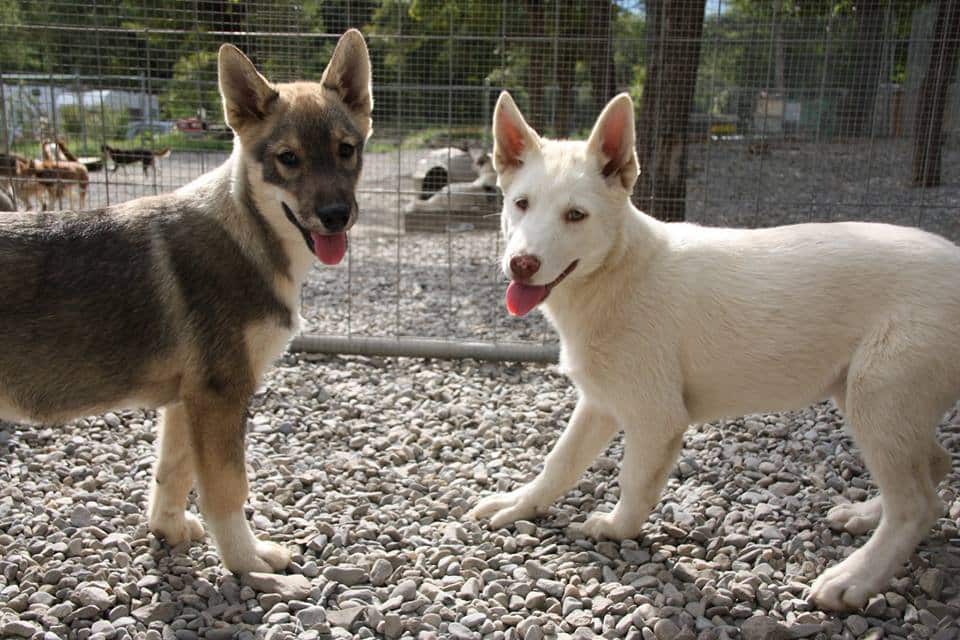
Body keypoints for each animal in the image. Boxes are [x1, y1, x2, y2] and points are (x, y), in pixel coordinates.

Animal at [0, 30, 374, 572]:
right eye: (288, 158)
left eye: (346, 150)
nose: (335, 215)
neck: (248, 234)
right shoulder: (221, 394)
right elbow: (227, 490)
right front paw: (250, 563)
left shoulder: (185, 399)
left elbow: (172, 475)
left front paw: (169, 532)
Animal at [470, 92, 960, 612]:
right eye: (521, 204)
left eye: (575, 215)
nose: (521, 265)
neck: (621, 271)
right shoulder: (600, 402)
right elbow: (559, 462)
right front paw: (520, 504)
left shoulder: (656, 417)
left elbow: (633, 482)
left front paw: (616, 529)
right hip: (872, 397)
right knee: (933, 466)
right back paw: (867, 516)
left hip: (879, 396)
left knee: (917, 504)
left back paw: (855, 578)